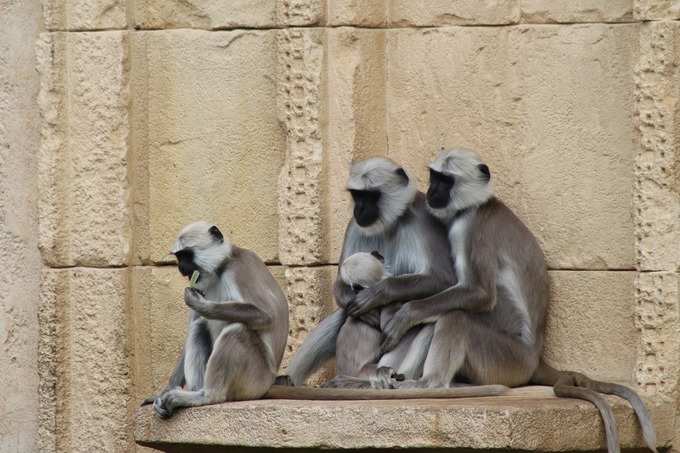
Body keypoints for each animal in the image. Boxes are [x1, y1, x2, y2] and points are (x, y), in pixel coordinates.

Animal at [145, 221, 288, 418]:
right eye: (179, 257)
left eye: (186, 256)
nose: (181, 268)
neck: (220, 268)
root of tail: (268, 383)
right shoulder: (201, 284)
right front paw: (165, 390)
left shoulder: (240, 268)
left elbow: (267, 316)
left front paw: (201, 305)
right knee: (198, 326)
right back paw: (193, 393)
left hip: (255, 380)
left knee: (237, 330)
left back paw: (208, 396)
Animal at [370, 148, 656, 452]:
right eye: (434, 176)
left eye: (445, 181)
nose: (431, 190)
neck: (480, 204)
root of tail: (535, 358)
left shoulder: (471, 227)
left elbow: (480, 293)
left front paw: (405, 313)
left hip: (506, 361)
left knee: (456, 317)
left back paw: (428, 384)